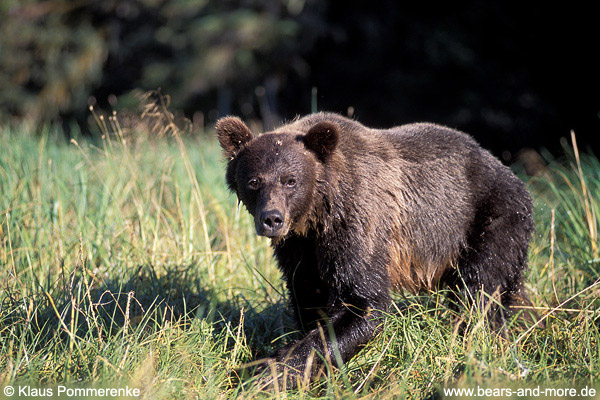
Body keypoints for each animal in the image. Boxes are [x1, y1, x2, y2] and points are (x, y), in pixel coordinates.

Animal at [214, 111, 536, 388]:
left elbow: (362, 301)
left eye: (290, 180)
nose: (272, 219)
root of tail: (510, 173)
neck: (317, 213)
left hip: (489, 219)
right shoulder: (301, 248)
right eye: (254, 181)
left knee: (479, 292)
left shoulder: (357, 221)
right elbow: (308, 294)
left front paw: (267, 374)